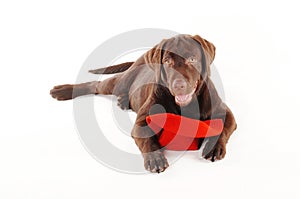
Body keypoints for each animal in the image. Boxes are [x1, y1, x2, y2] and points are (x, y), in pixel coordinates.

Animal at [49, 34, 237, 173]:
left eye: (192, 59)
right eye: (167, 61)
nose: (179, 85)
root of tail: (138, 60)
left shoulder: (226, 112)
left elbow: (223, 128)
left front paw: (214, 147)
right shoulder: (141, 122)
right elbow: (147, 138)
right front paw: (155, 158)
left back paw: (123, 101)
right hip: (120, 82)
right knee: (96, 85)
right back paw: (63, 91)